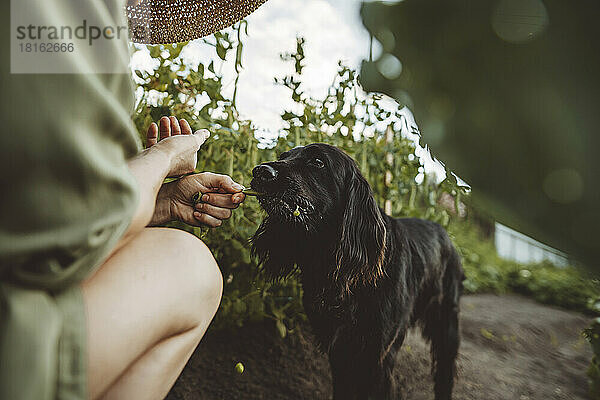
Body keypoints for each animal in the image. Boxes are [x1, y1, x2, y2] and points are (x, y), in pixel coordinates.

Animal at [248, 144, 464, 400]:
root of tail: (446, 234)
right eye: (283, 156)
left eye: (318, 162)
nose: (260, 171)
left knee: (444, 373)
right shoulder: (339, 349)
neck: (342, 277)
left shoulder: (377, 355)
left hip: (446, 326)